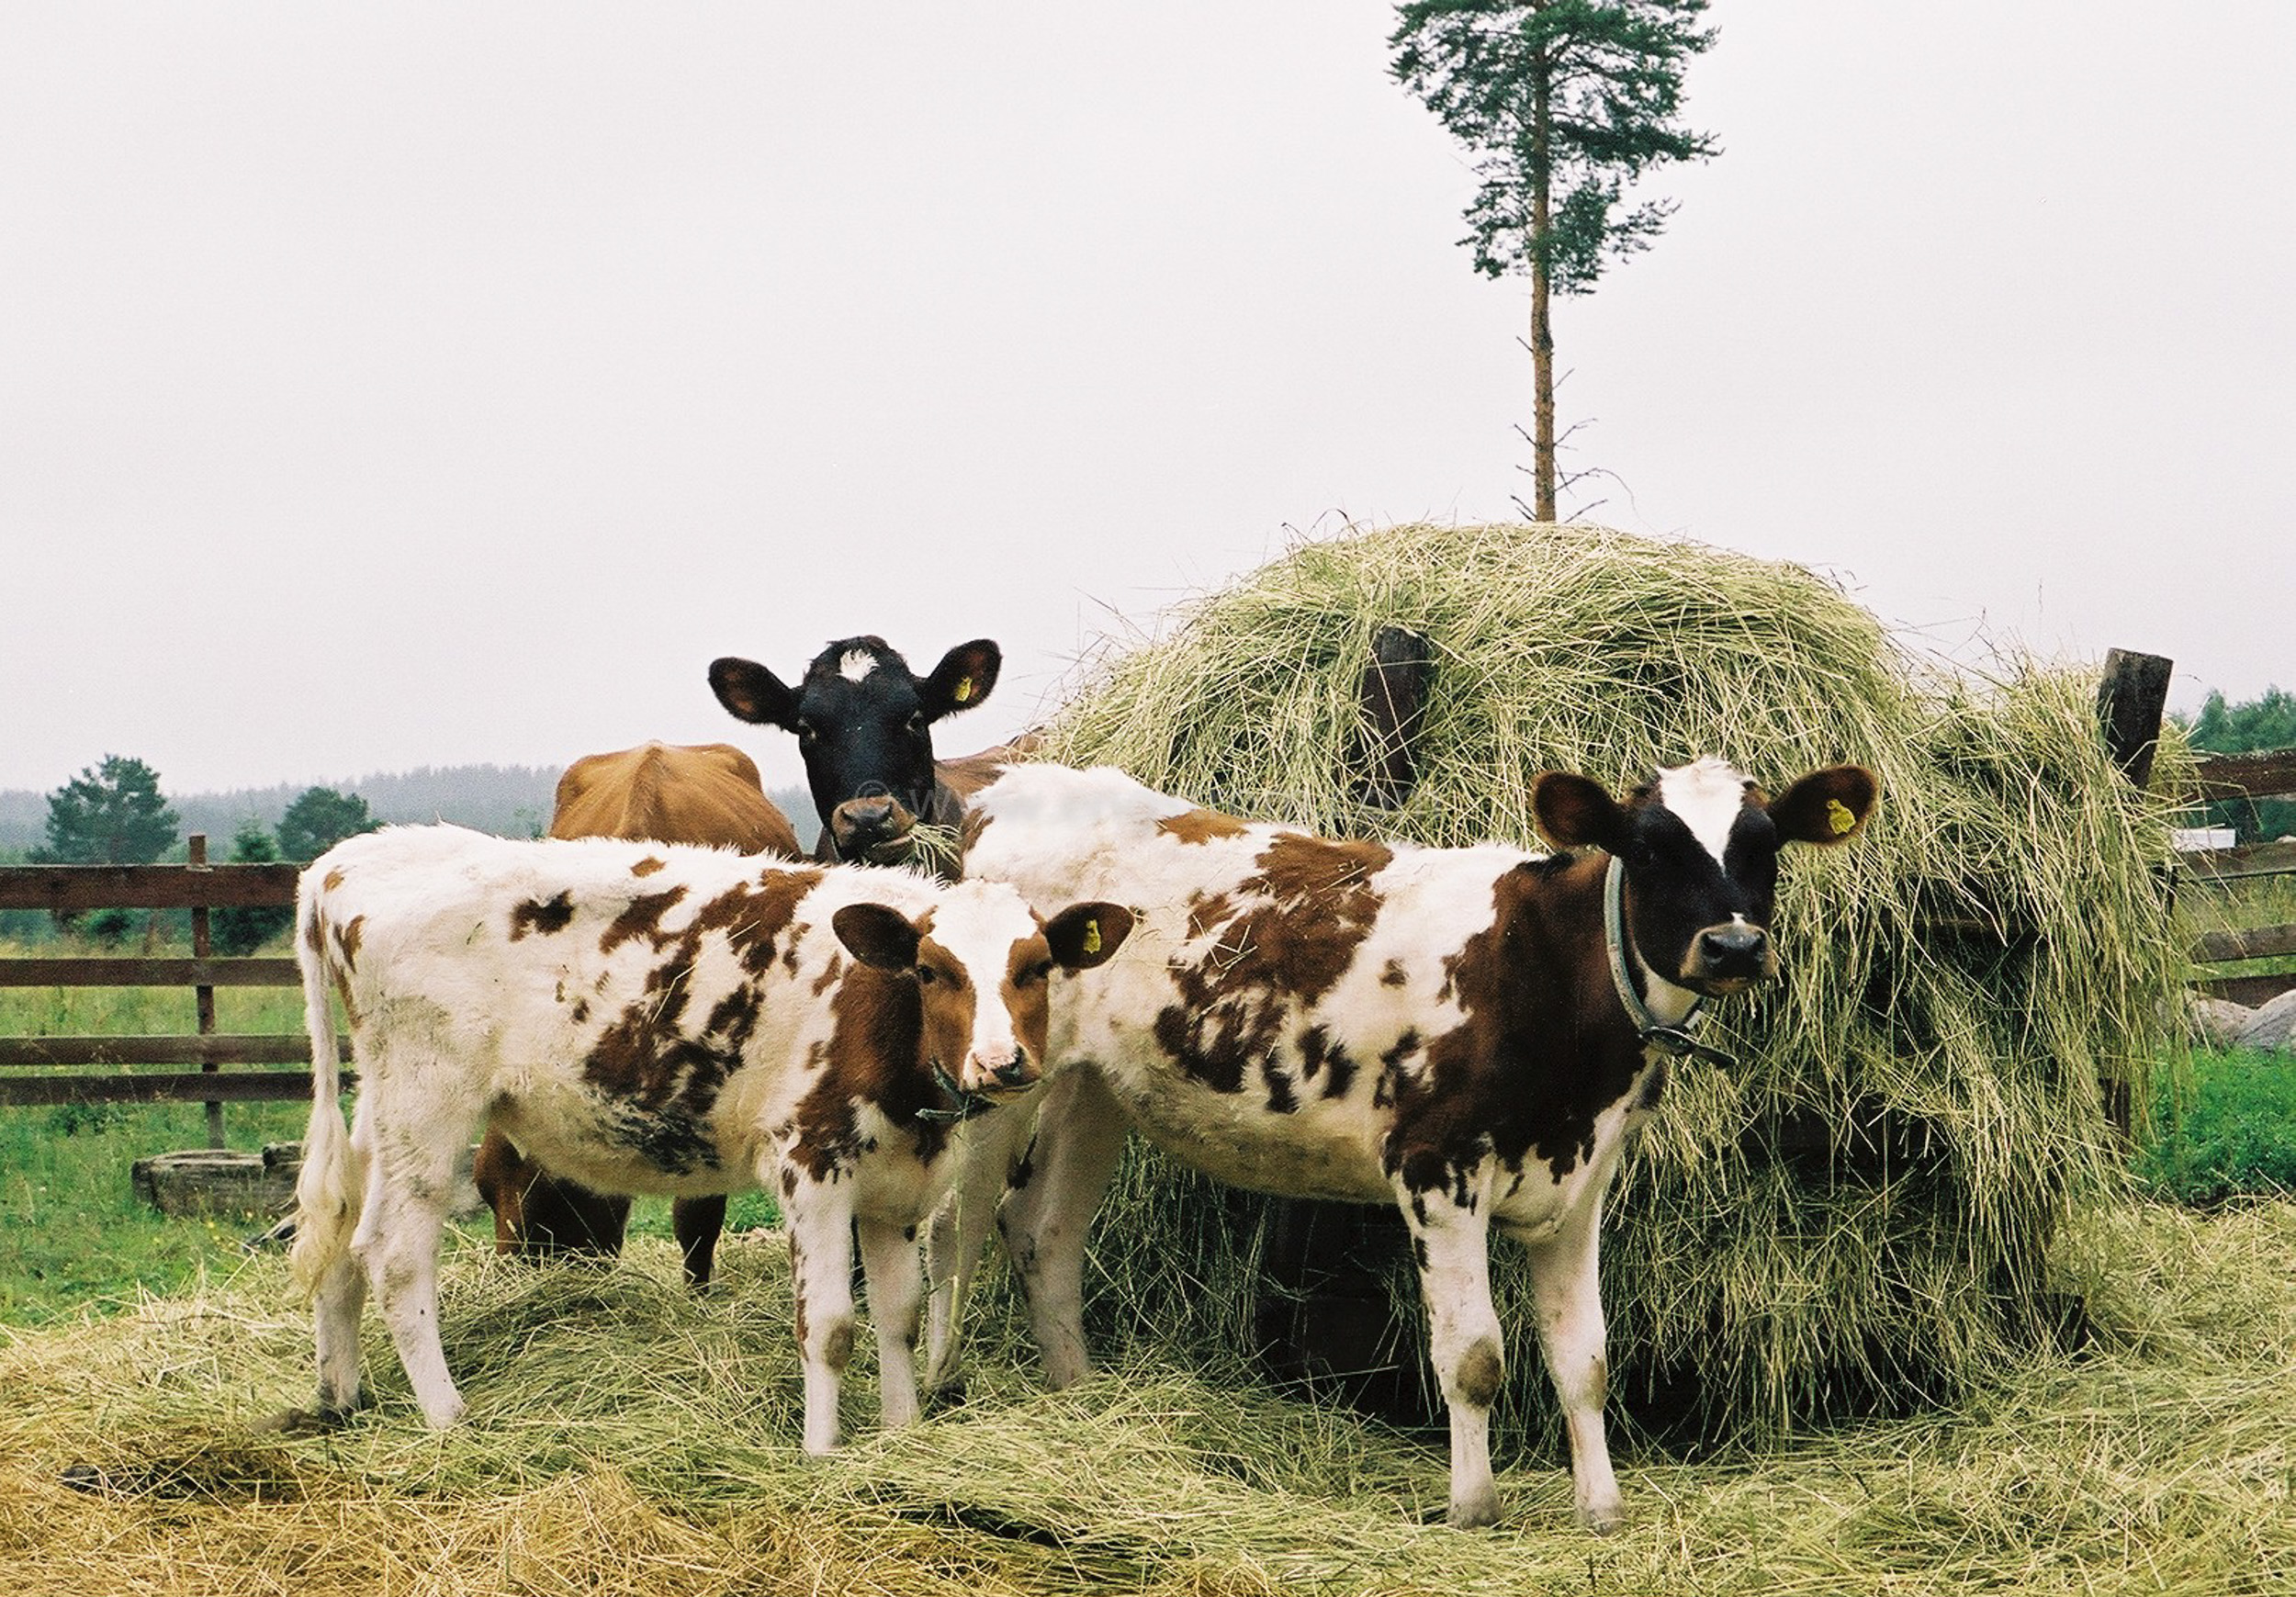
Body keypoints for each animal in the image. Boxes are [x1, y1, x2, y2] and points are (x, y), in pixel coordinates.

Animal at [287, 821, 1130, 1450]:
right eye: (930, 970)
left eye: (1039, 966)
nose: (1002, 1061)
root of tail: (342, 861)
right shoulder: (810, 1164)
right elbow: (829, 1326)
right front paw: (823, 1453)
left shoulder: (895, 1190)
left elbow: (899, 1316)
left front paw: (900, 1436)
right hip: (429, 1103)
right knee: (394, 1253)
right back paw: (447, 1416)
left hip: (382, 1109)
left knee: (342, 1234)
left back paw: (340, 1394)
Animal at [941, 761, 1874, 1533]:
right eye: (1646, 847)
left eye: (1766, 845)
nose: (1733, 945)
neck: (1544, 973)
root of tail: (1012, 784)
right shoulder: (1435, 1164)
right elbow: (1474, 1356)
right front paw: (1474, 1507)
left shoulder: (1583, 1178)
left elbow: (1585, 1358)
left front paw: (1601, 1509)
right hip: (993, 1078)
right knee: (959, 1229)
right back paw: (937, 1396)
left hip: (1094, 1083)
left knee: (1043, 1229)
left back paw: (1076, 1397)